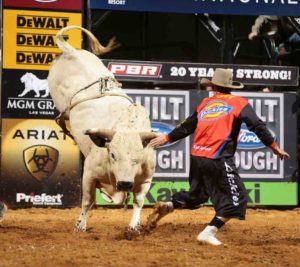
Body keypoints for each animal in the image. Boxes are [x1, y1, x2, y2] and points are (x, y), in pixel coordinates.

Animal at [47, 25, 157, 239]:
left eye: (138, 158)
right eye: (112, 154)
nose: (125, 184)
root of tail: (71, 51)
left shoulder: (146, 179)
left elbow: (138, 202)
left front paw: (133, 227)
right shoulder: (89, 174)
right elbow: (87, 201)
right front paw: (80, 226)